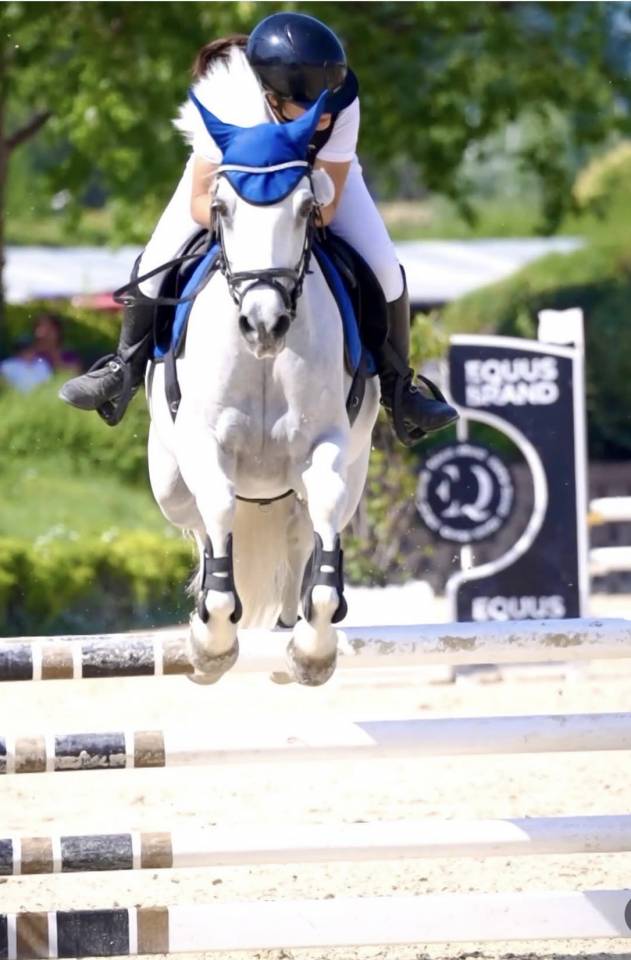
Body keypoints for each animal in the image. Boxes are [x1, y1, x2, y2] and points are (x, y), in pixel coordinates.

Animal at [146, 92, 380, 686]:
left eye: (305, 208)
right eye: (222, 208)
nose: (264, 324)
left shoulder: (325, 446)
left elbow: (323, 510)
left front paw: (313, 647)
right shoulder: (204, 445)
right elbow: (219, 507)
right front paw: (212, 639)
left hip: (340, 472)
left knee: (303, 530)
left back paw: (292, 628)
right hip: (169, 479)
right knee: (201, 522)